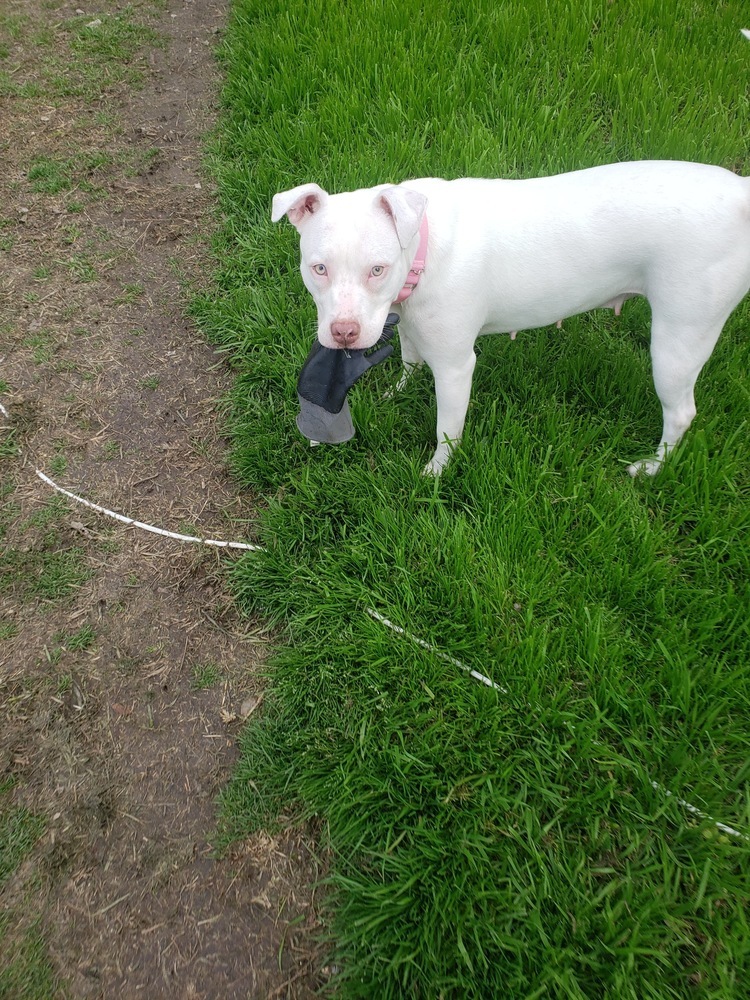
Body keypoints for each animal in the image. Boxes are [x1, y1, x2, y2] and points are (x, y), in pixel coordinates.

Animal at [274, 161, 750, 476]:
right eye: (319, 269)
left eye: (377, 269)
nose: (344, 333)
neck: (423, 241)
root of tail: (741, 193)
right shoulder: (409, 322)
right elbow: (410, 359)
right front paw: (397, 391)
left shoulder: (455, 367)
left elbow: (447, 429)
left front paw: (436, 473)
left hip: (678, 340)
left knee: (681, 412)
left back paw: (651, 468)